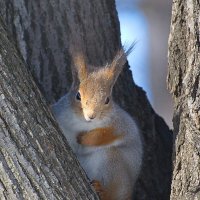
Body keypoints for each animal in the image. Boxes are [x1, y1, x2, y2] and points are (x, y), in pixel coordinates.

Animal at [51, 45, 142, 200]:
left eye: (107, 100)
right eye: (78, 95)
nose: (91, 116)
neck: (84, 123)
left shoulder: (122, 123)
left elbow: (110, 133)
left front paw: (84, 138)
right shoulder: (59, 114)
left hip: (113, 165)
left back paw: (102, 190)